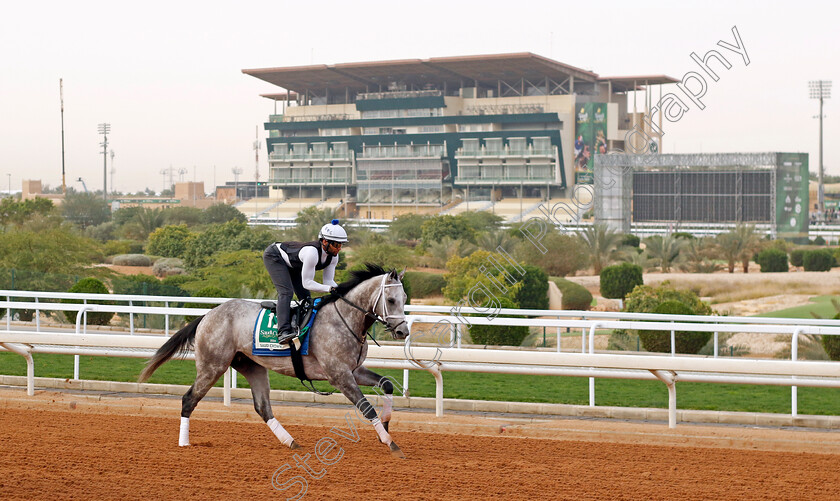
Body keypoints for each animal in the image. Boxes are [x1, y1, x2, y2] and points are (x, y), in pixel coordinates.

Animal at [139, 266, 408, 458]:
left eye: (405, 297)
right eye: (391, 300)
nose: (402, 331)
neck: (345, 319)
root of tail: (207, 315)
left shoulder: (354, 370)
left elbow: (386, 384)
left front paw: (385, 427)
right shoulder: (339, 375)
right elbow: (366, 407)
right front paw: (389, 442)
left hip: (252, 366)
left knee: (262, 407)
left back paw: (290, 441)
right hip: (212, 365)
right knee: (189, 399)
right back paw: (184, 443)